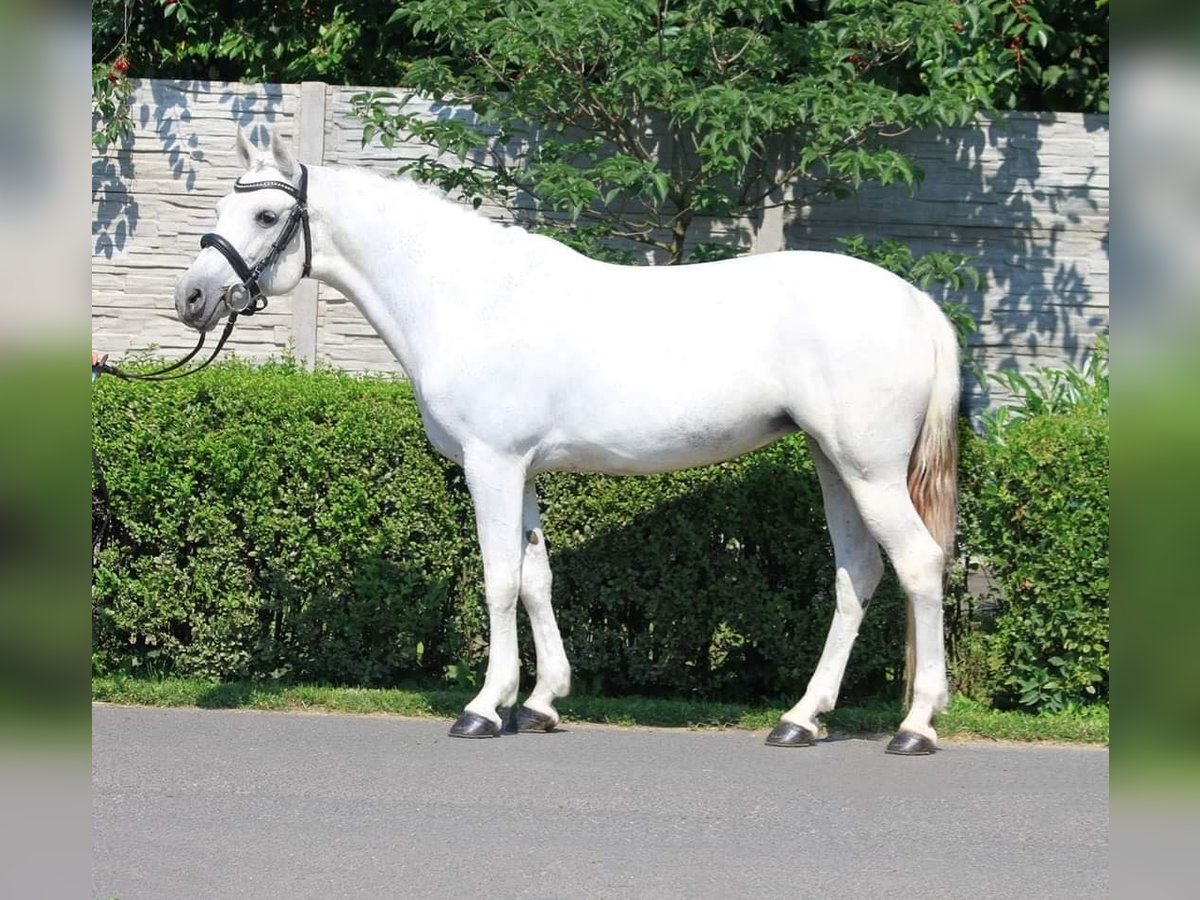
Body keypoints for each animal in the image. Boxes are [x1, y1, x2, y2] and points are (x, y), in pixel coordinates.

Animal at [175, 132, 955, 753]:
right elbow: (537, 578)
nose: (192, 298)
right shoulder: (522, 471)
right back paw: (801, 719)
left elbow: (498, 580)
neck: (468, 298)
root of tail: (918, 303)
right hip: (834, 464)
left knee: (918, 564)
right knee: (857, 575)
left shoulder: (491, 464)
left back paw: (915, 726)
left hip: (869, 470)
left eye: (266, 215)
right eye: (217, 212)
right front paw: (542, 703)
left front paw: (484, 709)